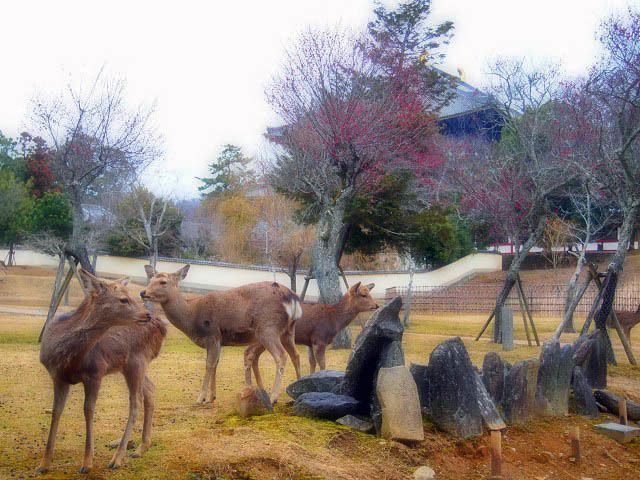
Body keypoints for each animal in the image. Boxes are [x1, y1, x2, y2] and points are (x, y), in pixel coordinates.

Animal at [38, 268, 166, 474]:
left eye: (132, 295)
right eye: (123, 299)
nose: (146, 314)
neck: (67, 356)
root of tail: (163, 326)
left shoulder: (96, 371)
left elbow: (88, 410)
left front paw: (87, 463)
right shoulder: (57, 376)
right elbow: (56, 411)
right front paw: (44, 464)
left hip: (137, 359)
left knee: (136, 401)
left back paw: (117, 458)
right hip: (129, 365)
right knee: (150, 389)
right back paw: (141, 447)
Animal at [141, 264, 302, 406]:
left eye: (163, 281)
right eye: (150, 279)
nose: (143, 293)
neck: (192, 318)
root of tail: (292, 299)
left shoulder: (212, 334)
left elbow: (209, 364)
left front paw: (200, 398)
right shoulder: (219, 341)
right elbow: (215, 364)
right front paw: (211, 397)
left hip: (267, 327)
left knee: (281, 356)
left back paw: (274, 397)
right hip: (288, 330)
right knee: (295, 354)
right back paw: (296, 392)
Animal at [244, 280, 376, 376]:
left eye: (369, 293)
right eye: (363, 295)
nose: (376, 305)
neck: (334, 321)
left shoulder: (309, 342)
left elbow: (312, 363)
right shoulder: (319, 339)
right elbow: (322, 364)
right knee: (250, 352)